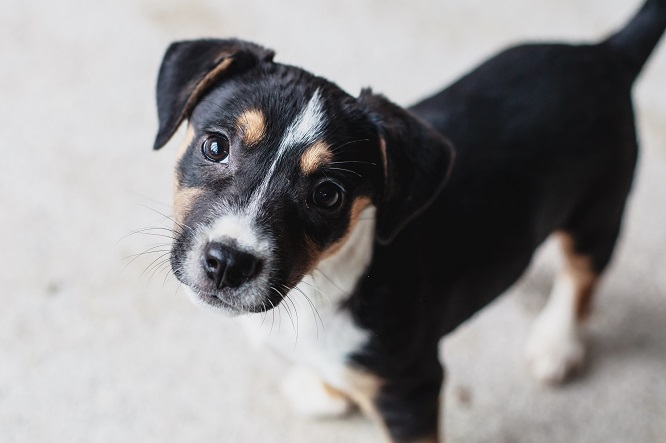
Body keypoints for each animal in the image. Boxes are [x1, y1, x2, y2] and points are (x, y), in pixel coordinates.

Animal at [152, 0, 664, 443]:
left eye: (328, 196)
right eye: (215, 146)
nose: (228, 263)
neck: (326, 280)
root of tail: (608, 54)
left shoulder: (411, 390)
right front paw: (328, 388)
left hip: (599, 210)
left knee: (582, 275)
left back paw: (556, 344)